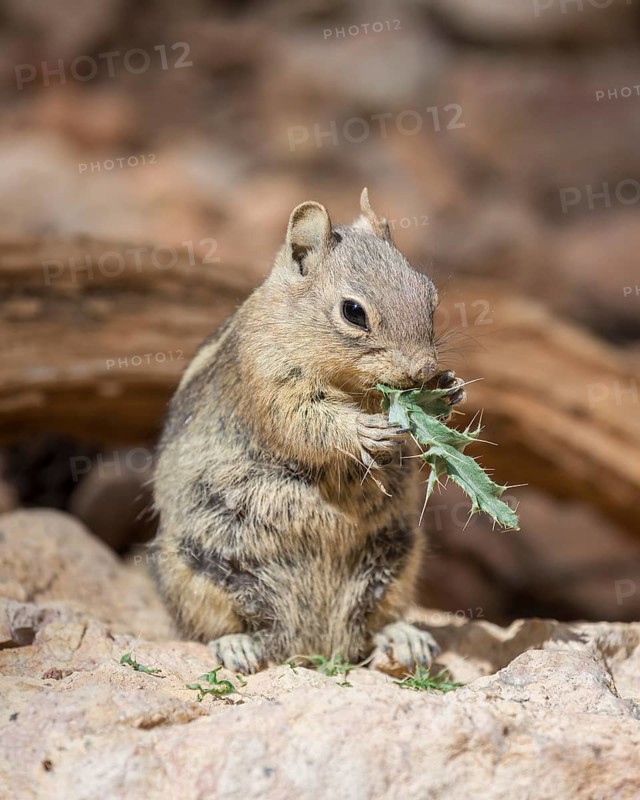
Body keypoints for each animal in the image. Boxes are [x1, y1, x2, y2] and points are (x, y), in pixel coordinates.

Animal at [151, 189, 466, 674]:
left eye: (430, 296)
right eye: (353, 312)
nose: (422, 370)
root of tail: (315, 646)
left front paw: (449, 390)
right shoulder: (267, 376)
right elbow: (301, 420)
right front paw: (362, 432)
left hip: (399, 554)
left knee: (375, 623)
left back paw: (404, 637)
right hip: (194, 564)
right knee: (213, 626)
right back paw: (237, 647)